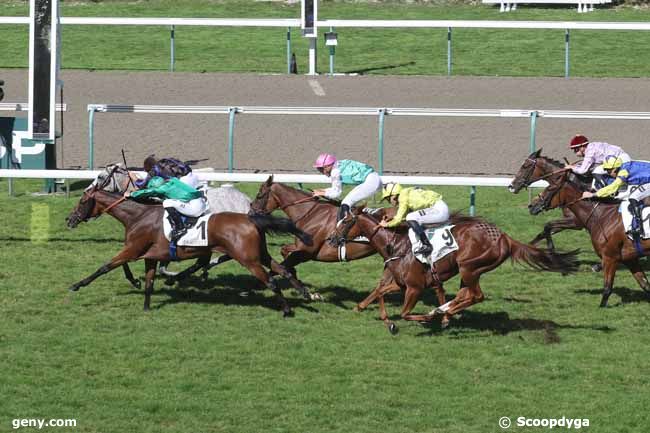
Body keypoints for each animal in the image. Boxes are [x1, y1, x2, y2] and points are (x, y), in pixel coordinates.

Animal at [67, 185, 316, 314]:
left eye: (82, 201)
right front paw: (146, 305)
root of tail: (251, 218)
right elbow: (148, 281)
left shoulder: (133, 249)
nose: (69, 219)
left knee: (271, 280)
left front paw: (77, 285)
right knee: (282, 270)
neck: (138, 215)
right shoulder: (149, 255)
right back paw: (306, 293)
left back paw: (287, 310)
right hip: (259, 254)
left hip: (248, 259)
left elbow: (106, 266)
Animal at [334, 208, 576, 332]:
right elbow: (381, 292)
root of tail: (506, 237)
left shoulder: (414, 288)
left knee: (476, 296)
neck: (395, 245)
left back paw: (441, 312)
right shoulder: (401, 284)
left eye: (345, 222)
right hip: (471, 271)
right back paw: (445, 312)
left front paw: (425, 318)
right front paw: (386, 320)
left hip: (469, 266)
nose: (332, 239)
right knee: (465, 295)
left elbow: (404, 312)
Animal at [528, 169, 648, 308]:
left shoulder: (610, 257)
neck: (602, 215)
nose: (531, 205)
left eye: (550, 188)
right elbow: (645, 284)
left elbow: (607, 288)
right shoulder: (629, 258)